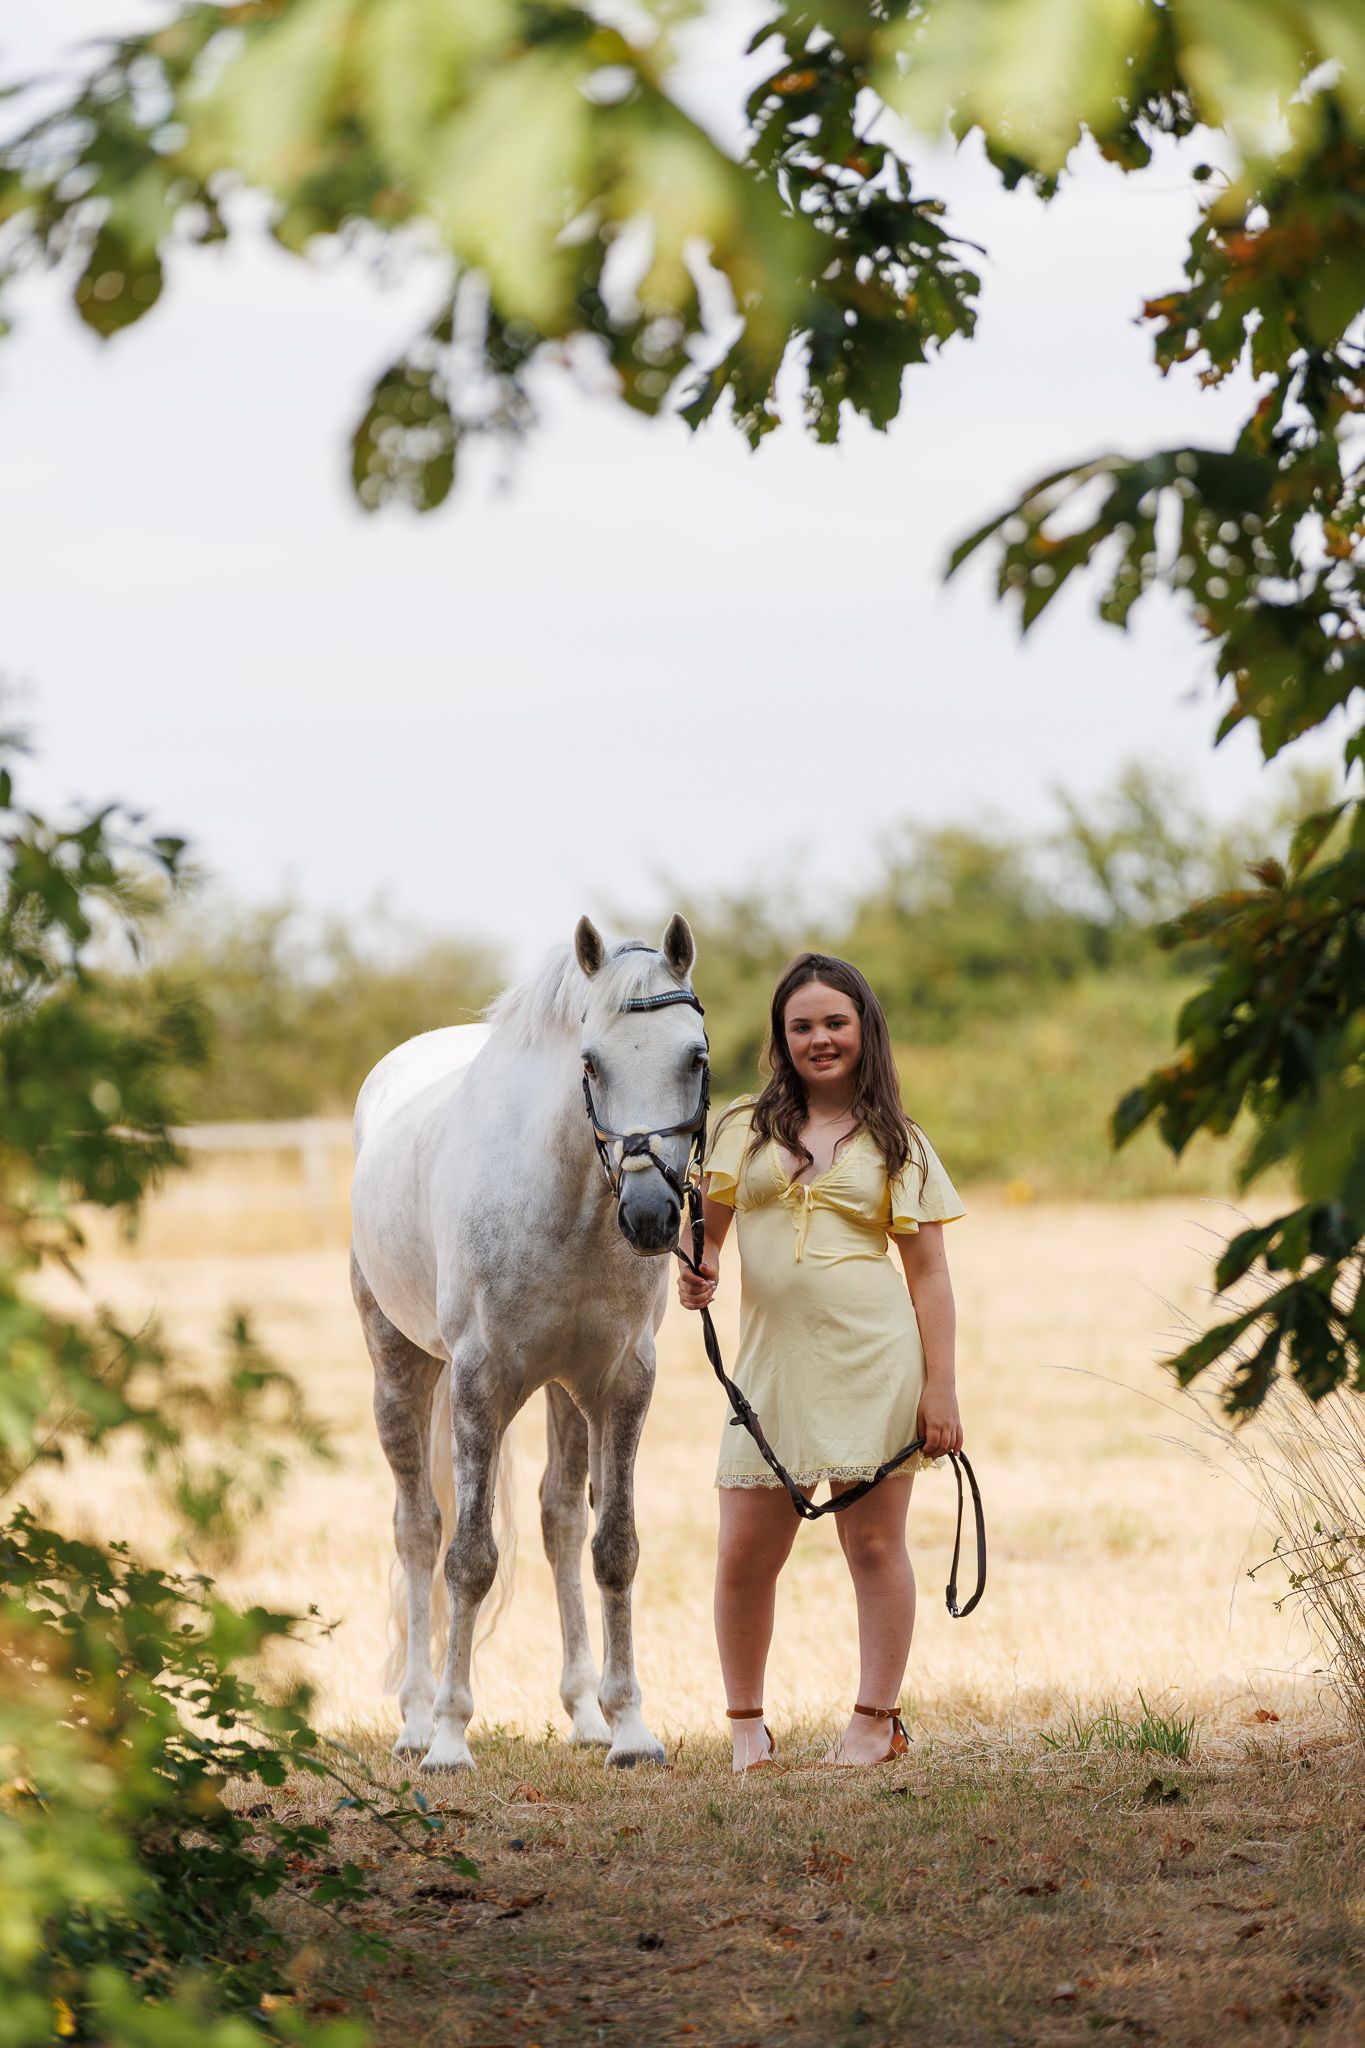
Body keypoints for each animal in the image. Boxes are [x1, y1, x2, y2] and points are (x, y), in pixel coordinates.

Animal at [349, 913, 707, 1771]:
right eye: (591, 1061)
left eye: (695, 1057)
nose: (650, 1216)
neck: (568, 1196)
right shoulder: (479, 1380)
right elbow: (468, 1559)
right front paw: (451, 1739)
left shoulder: (619, 1380)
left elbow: (612, 1546)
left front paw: (630, 1731)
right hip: (400, 1368)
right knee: (418, 1530)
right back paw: (416, 1722)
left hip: (561, 1392)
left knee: (559, 1522)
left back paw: (584, 1715)